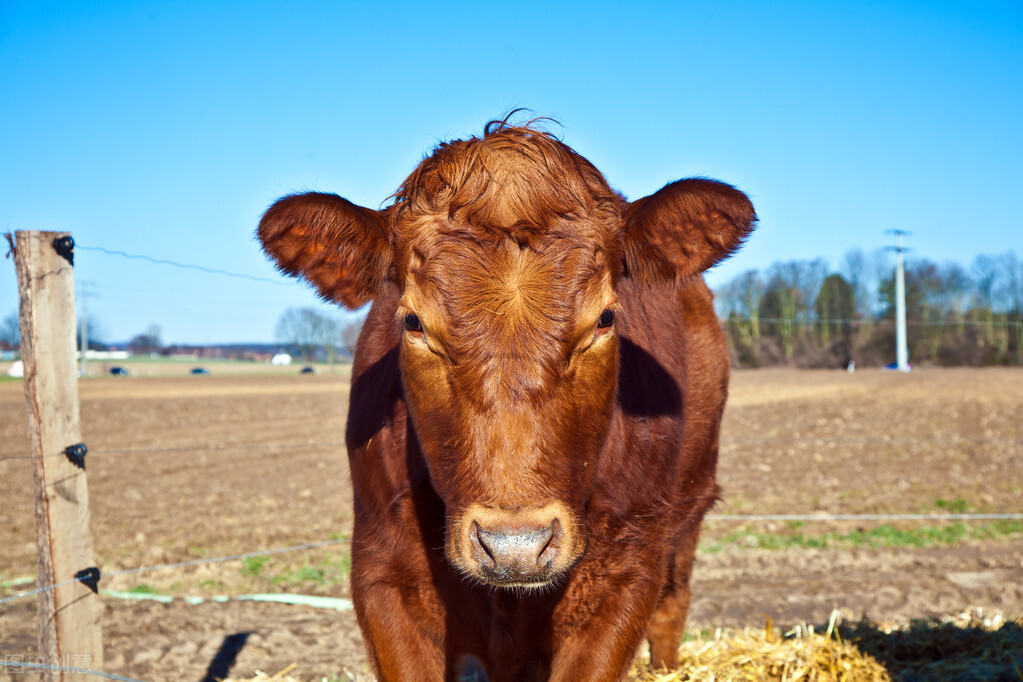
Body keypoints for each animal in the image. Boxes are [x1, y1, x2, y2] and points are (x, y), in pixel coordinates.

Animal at [257, 120, 752, 678]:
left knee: (673, 605)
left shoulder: (627, 574)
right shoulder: (381, 572)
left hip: (688, 508)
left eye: (605, 318)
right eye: (413, 322)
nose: (515, 547)